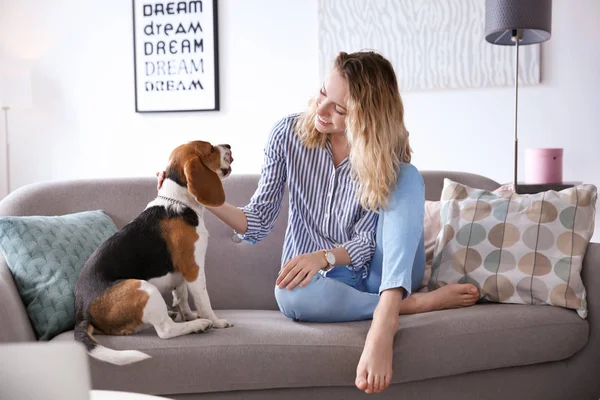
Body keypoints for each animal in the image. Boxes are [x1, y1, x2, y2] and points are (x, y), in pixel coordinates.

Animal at [74, 140, 232, 366]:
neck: (177, 200)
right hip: (144, 288)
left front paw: (188, 315)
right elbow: (204, 301)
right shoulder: (194, 268)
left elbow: (182, 296)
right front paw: (215, 321)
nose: (228, 145)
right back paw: (199, 325)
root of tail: (82, 315)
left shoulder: (182, 274)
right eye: (210, 149)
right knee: (165, 331)